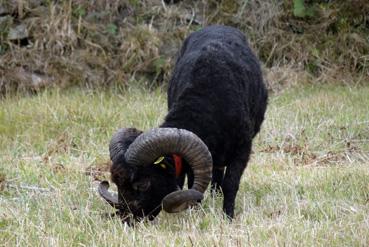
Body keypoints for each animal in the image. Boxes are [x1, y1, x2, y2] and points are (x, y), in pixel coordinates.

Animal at [99, 25, 266, 221]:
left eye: (143, 184)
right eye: (116, 183)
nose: (128, 219)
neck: (205, 102)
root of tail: (218, 26)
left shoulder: (242, 148)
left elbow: (230, 183)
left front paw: (228, 217)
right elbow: (193, 181)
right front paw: (196, 211)